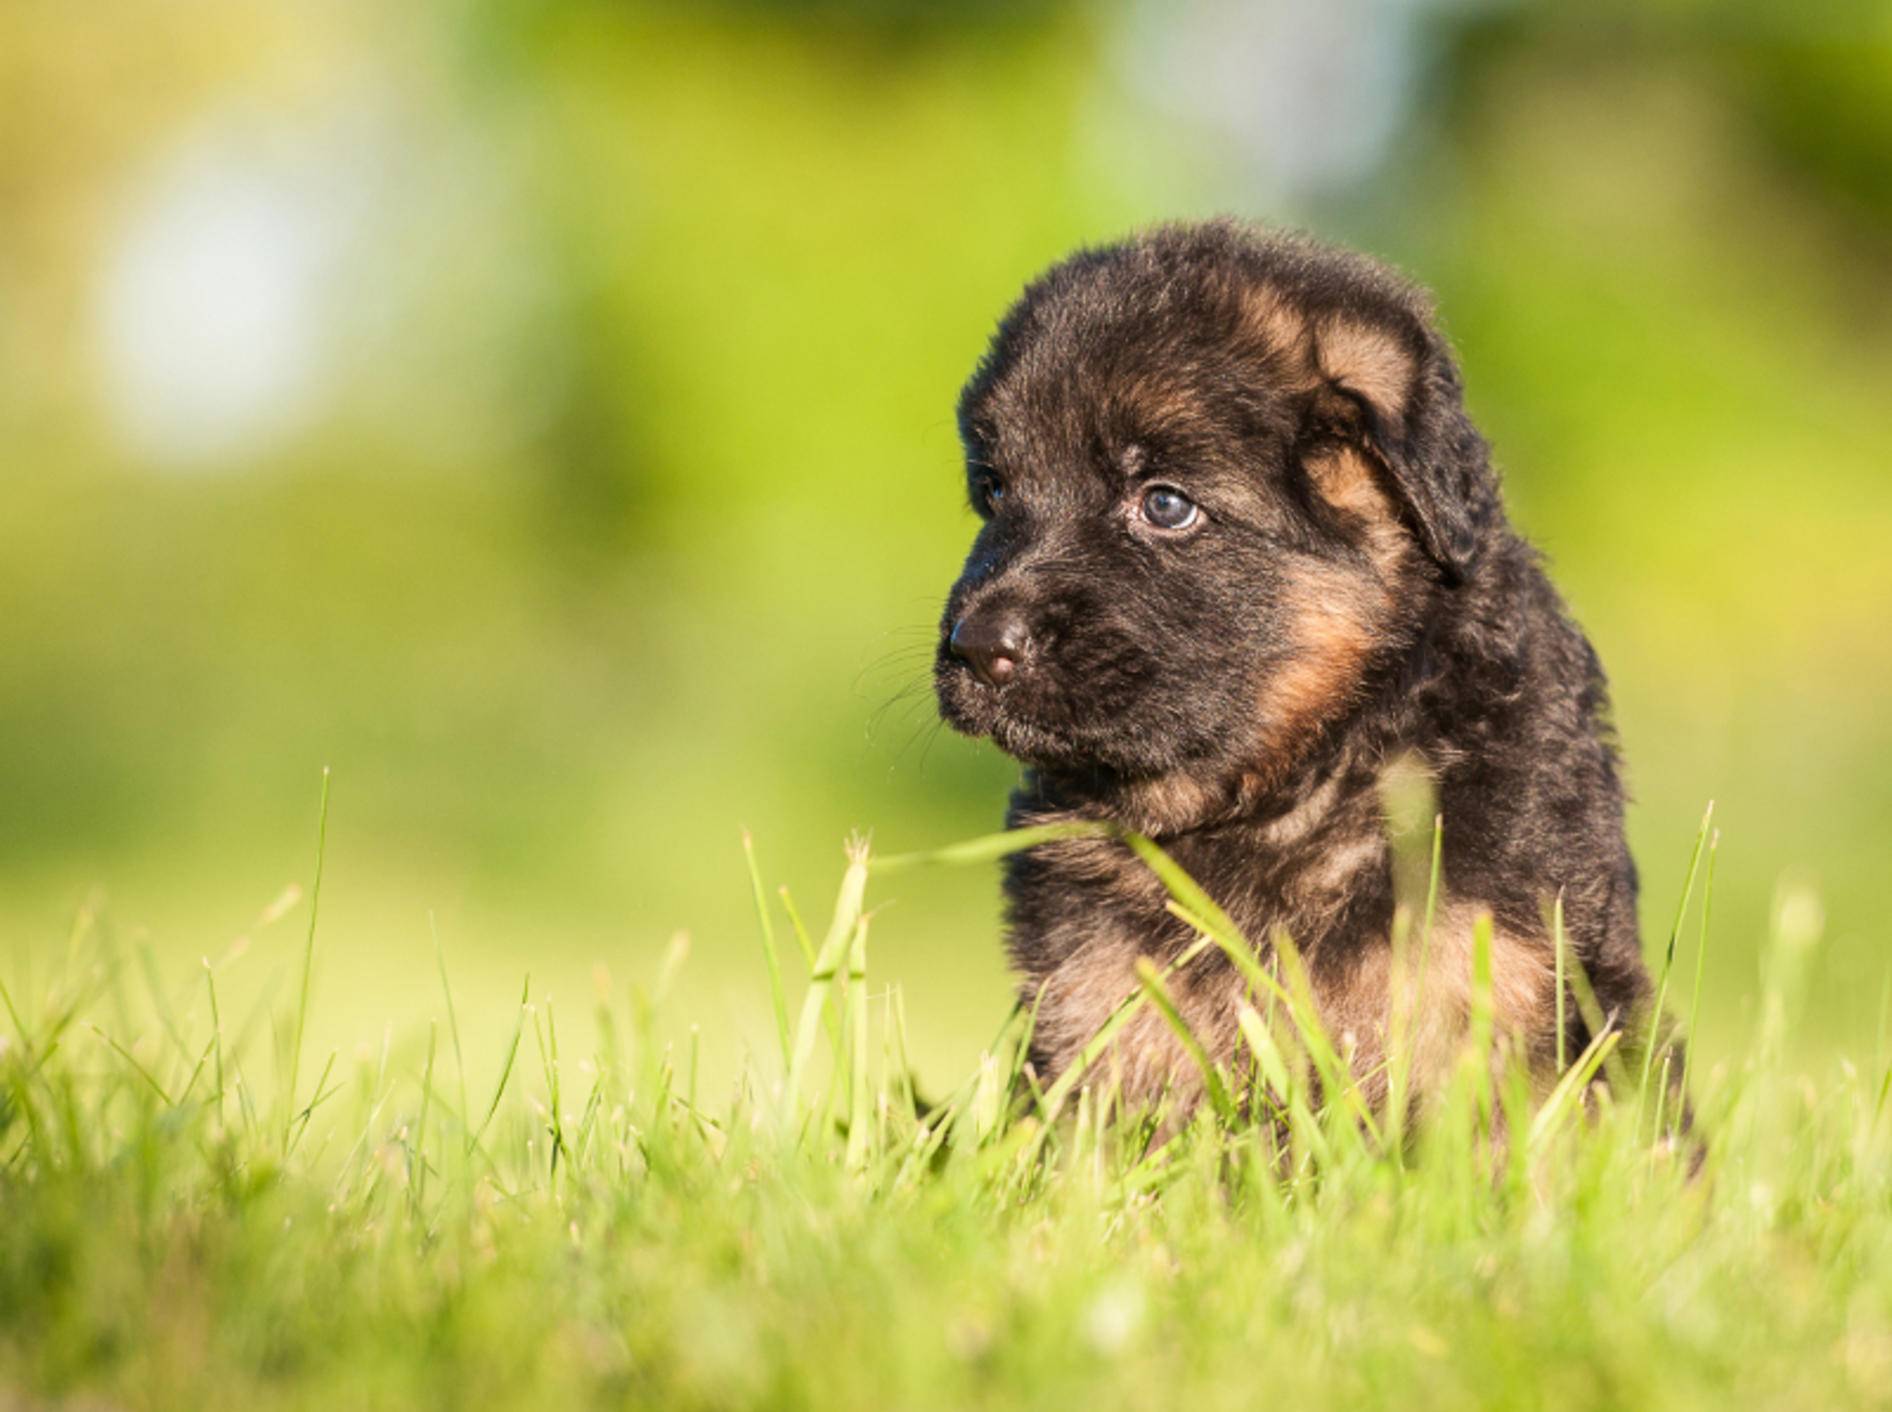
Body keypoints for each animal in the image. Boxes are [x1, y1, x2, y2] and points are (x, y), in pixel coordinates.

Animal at [930, 222, 1657, 1120]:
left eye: (1165, 504)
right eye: (995, 491)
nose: (976, 644)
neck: (1296, 774)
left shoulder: (1497, 961)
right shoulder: (1094, 976)